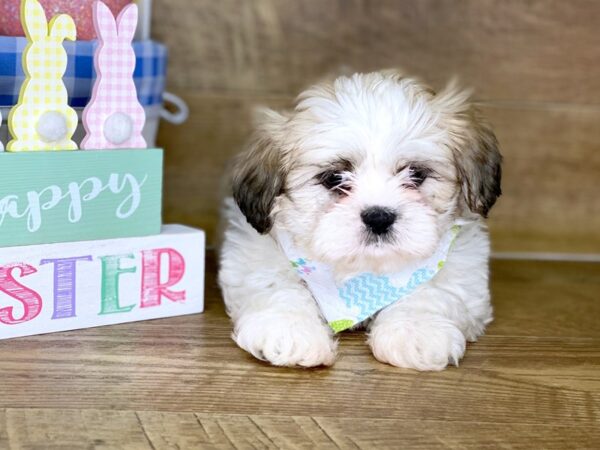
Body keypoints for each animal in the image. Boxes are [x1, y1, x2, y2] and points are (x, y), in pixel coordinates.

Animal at [220, 70, 502, 370]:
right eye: (334, 178)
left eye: (415, 174)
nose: (379, 217)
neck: (362, 269)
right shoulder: (254, 257)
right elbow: (278, 287)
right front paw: (291, 329)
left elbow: (431, 290)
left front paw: (417, 330)